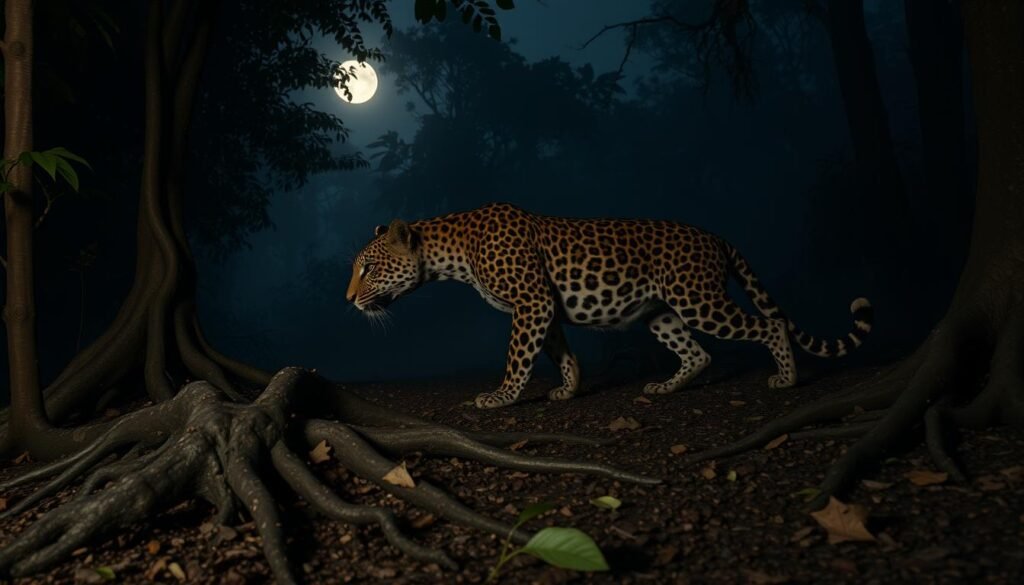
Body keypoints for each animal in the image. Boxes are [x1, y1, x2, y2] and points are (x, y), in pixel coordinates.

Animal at [346, 203, 873, 409]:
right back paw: (664, 387)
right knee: (698, 353)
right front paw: (569, 389)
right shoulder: (543, 308)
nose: (348, 299)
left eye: (367, 269)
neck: (449, 254)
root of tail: (716, 236)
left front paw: (501, 396)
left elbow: (518, 357)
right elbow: (561, 353)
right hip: (661, 313)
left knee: (769, 325)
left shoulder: (531, 302)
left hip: (699, 299)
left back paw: (787, 378)